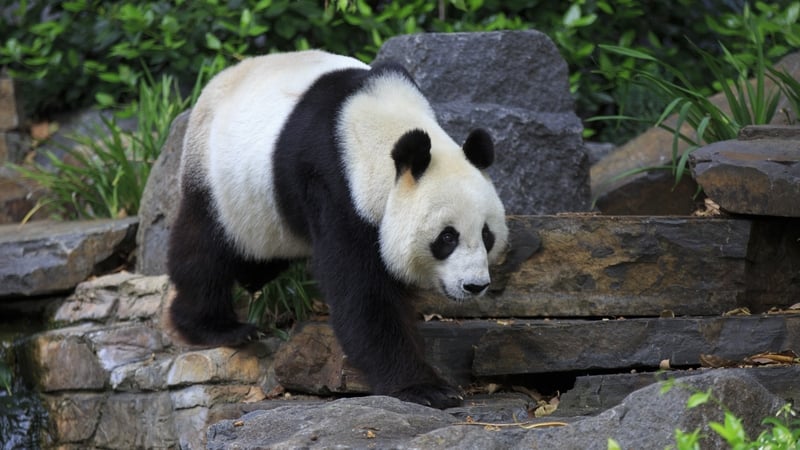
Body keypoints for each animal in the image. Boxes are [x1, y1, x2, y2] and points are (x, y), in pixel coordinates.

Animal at [167, 50, 508, 409]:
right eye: (447, 237)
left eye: (487, 235)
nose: (474, 285)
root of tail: (216, 82)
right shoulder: (334, 186)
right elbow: (362, 294)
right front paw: (426, 388)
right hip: (219, 182)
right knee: (204, 250)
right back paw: (216, 327)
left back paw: (252, 277)